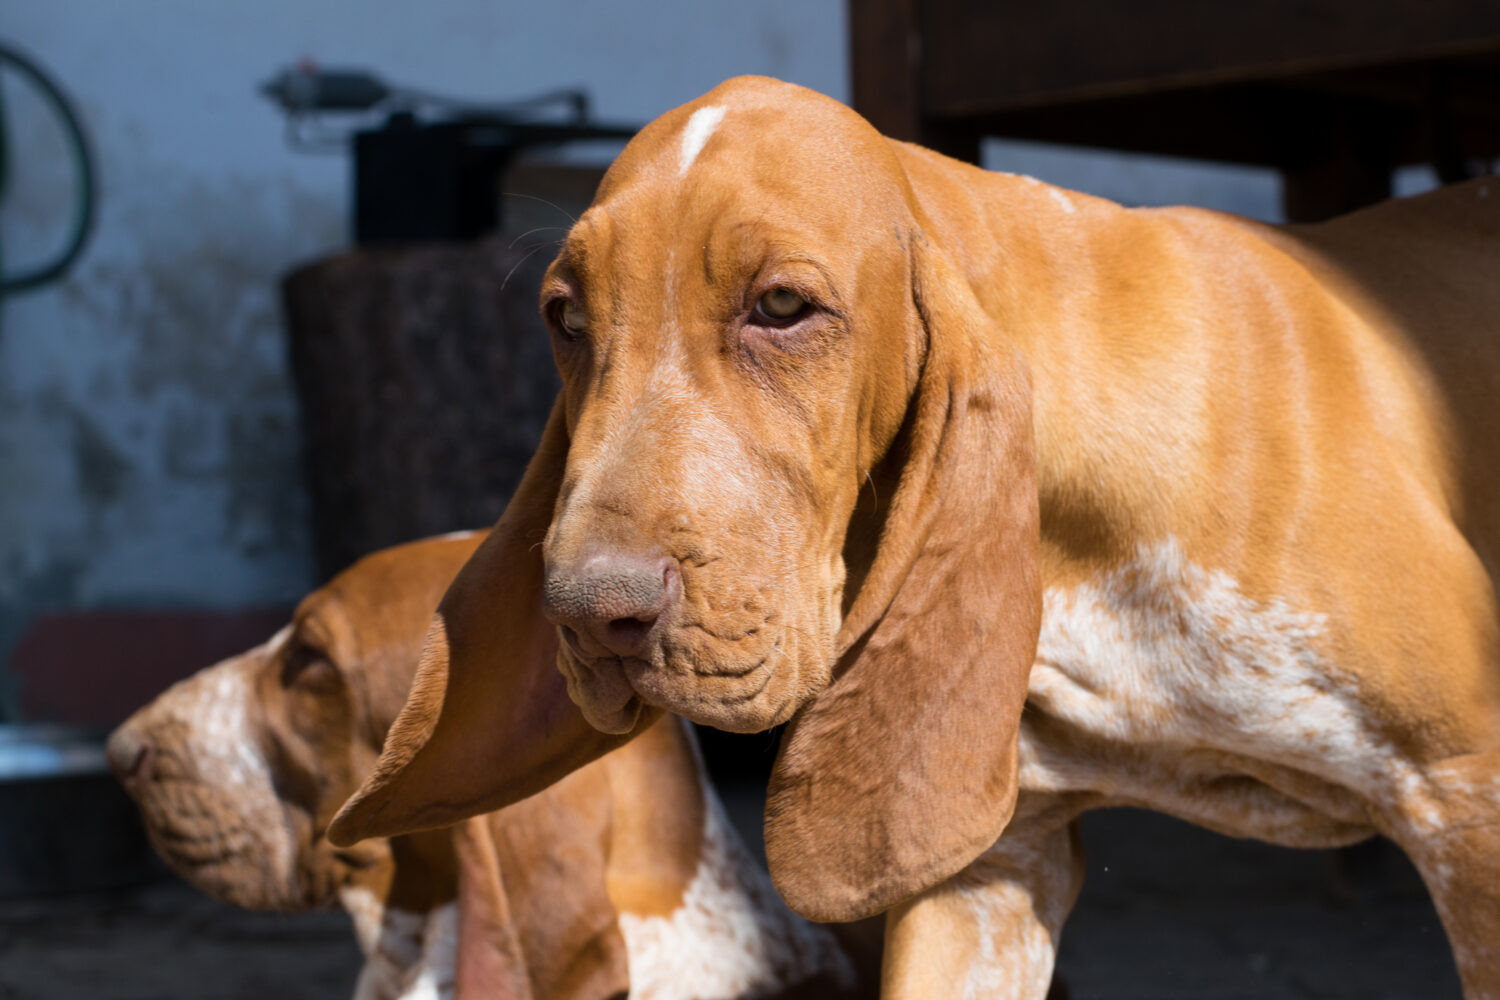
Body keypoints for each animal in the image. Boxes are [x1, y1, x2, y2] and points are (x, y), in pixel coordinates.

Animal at [334, 74, 1500, 995]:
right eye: (566, 319)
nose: (587, 614)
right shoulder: (990, 869)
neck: (1083, 562)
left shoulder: (1467, 799)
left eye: (784, 307)